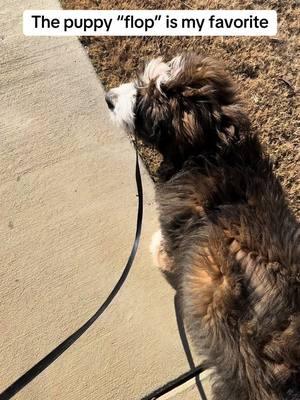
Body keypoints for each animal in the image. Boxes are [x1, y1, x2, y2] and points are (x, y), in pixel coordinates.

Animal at [106, 54, 300, 400]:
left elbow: (167, 247)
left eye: (143, 99)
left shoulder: (176, 222)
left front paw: (158, 253)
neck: (213, 149)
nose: (109, 99)